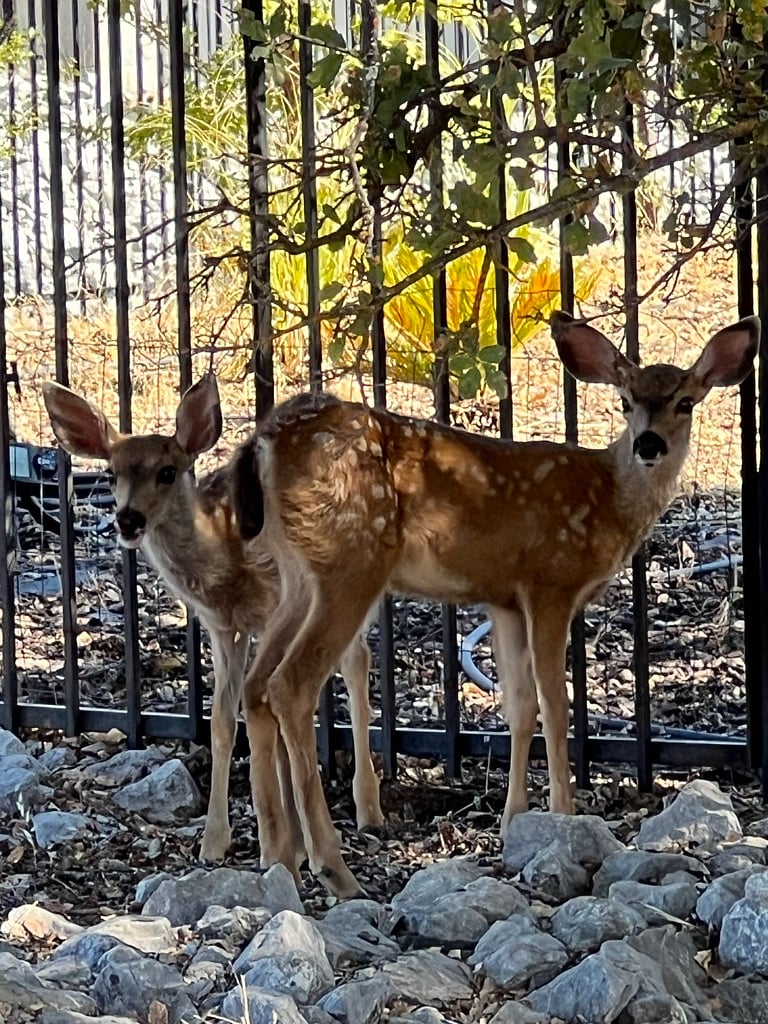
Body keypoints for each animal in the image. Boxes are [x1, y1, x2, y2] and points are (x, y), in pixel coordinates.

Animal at [41, 375, 384, 876]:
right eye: (110, 474)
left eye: (168, 471)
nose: (128, 519)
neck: (225, 559)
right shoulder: (222, 627)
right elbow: (223, 720)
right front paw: (217, 842)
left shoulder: (274, 607)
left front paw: (286, 843)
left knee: (357, 661)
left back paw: (368, 807)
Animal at [224, 311, 759, 899]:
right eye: (624, 399)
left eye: (685, 401)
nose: (648, 444)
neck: (610, 505)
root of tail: (265, 442)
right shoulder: (550, 581)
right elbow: (556, 704)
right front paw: (565, 812)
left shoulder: (503, 601)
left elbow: (519, 708)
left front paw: (513, 820)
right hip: (352, 558)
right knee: (289, 685)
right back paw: (333, 868)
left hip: (298, 575)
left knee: (255, 685)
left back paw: (280, 855)